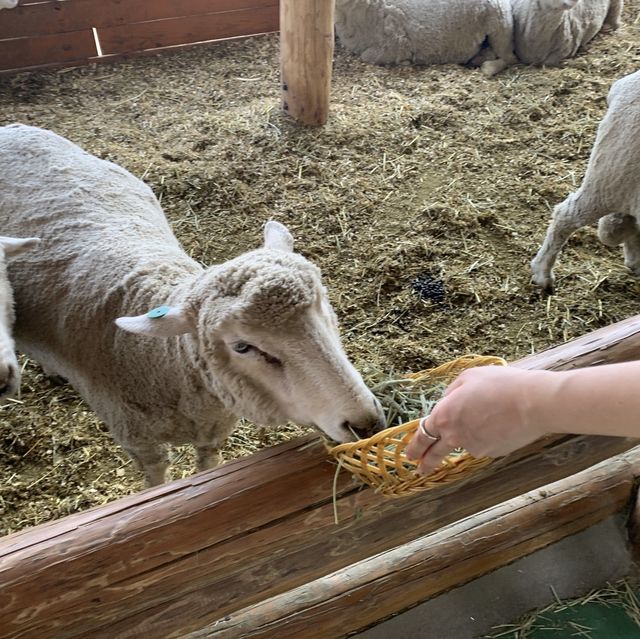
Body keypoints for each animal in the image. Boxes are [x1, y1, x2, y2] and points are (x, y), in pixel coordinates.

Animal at [0, 124, 384, 484]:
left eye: (325, 306)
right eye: (242, 347)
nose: (365, 423)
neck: (162, 362)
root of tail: (15, 128)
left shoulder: (213, 429)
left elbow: (207, 468)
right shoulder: (139, 443)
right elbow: (157, 483)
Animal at [332, 0, 516, 76]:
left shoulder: (393, 46)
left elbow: (367, 57)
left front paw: (406, 62)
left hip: (500, 23)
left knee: (509, 58)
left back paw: (487, 67)